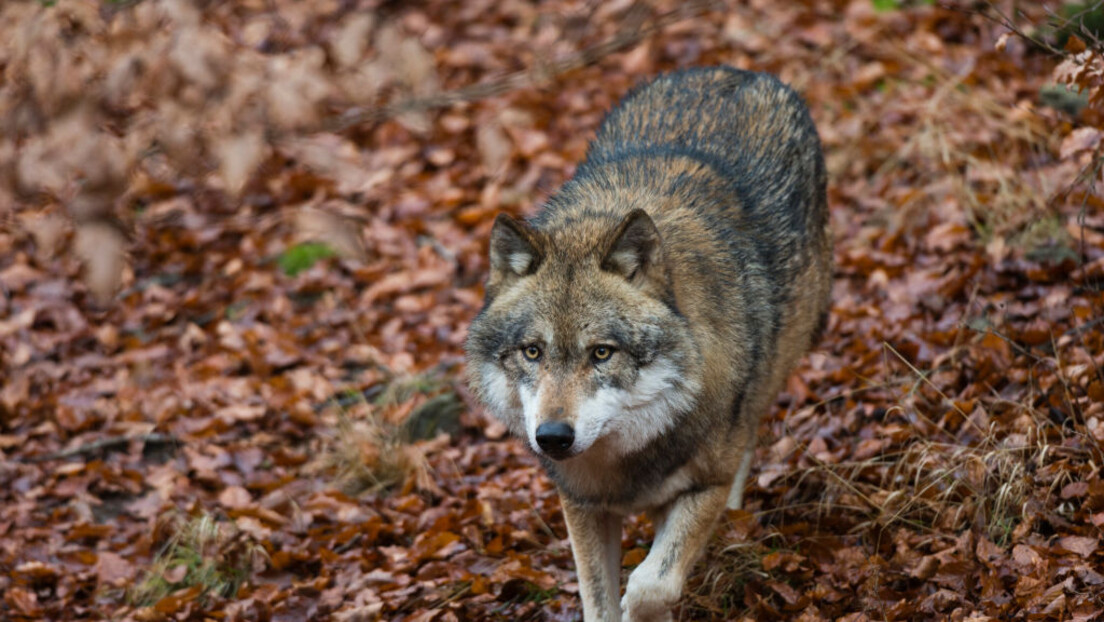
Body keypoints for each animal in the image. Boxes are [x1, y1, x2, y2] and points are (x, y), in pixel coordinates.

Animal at [461, 65, 830, 618]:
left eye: (601, 353)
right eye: (532, 351)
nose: (552, 437)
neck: (624, 462)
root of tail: (731, 70)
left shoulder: (703, 485)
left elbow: (651, 584)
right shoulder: (581, 504)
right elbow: (598, 598)